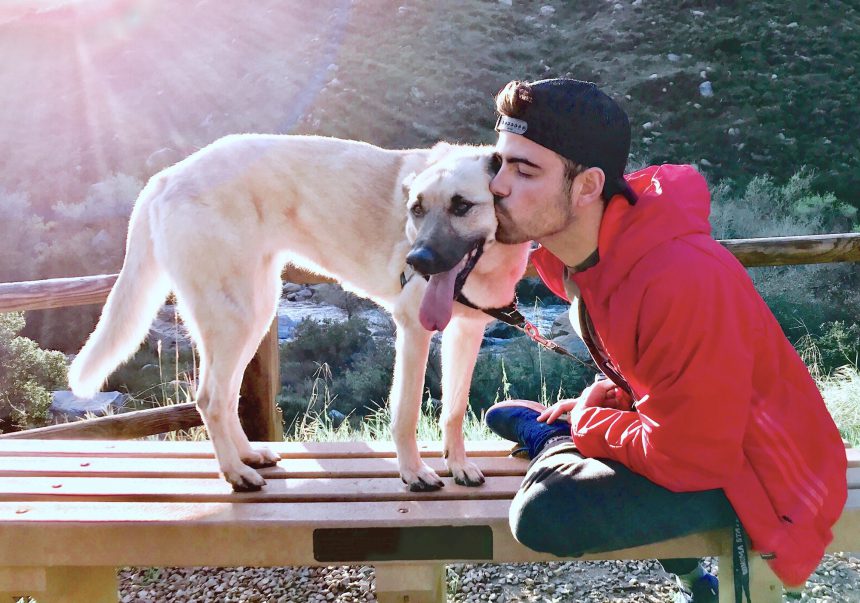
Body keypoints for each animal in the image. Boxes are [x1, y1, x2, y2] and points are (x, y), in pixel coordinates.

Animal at [69, 136, 532, 490]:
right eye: (416, 209)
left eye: (461, 205)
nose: (416, 261)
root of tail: (165, 176)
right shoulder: (414, 330)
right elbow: (406, 413)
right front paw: (413, 472)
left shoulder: (465, 332)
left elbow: (453, 409)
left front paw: (458, 465)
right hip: (236, 316)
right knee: (209, 397)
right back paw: (234, 473)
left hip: (252, 314)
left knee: (225, 395)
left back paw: (247, 456)